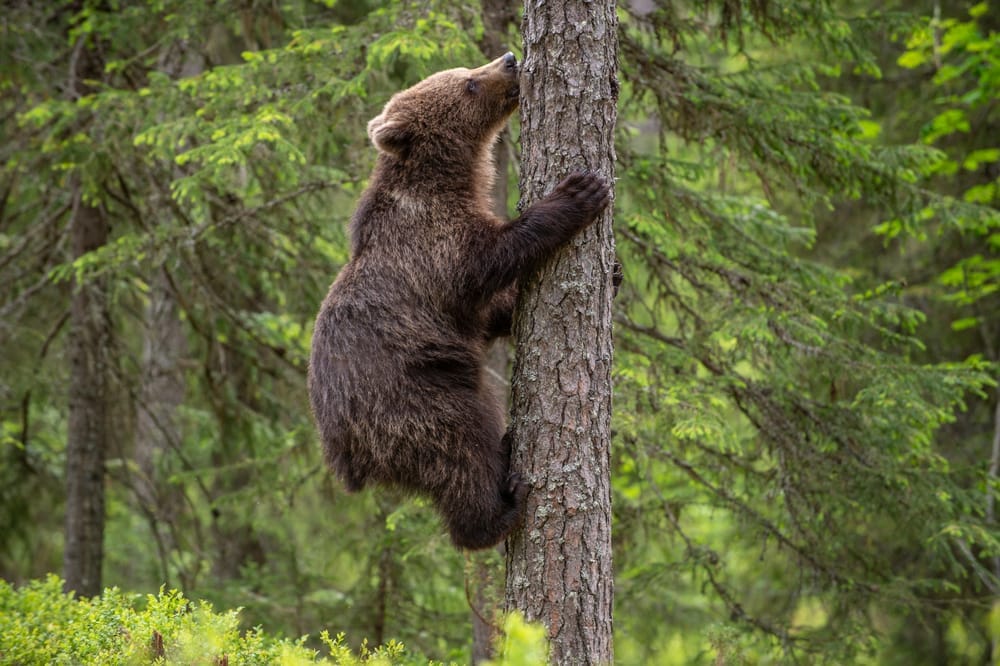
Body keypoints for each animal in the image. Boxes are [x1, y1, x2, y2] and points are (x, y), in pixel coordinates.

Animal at [307, 52, 611, 550]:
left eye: (467, 70)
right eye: (468, 83)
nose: (509, 59)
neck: (448, 183)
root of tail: (346, 458)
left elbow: (489, 314)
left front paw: (616, 273)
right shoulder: (432, 248)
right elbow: (492, 257)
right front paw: (577, 194)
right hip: (412, 396)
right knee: (459, 448)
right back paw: (499, 510)